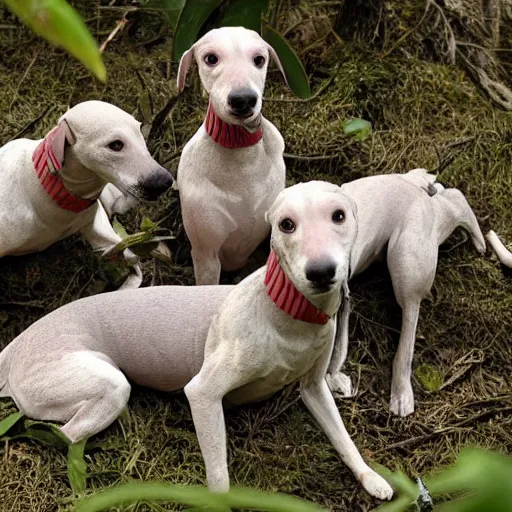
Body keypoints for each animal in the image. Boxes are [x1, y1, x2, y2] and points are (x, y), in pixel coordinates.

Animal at [0, 182, 392, 502]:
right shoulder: (203, 394)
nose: (321, 272)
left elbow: (344, 439)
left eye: (339, 216)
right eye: (286, 224)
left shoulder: (313, 386)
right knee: (57, 434)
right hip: (106, 386)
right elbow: (219, 476)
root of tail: (16, 345)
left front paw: (370, 477)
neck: (287, 310)